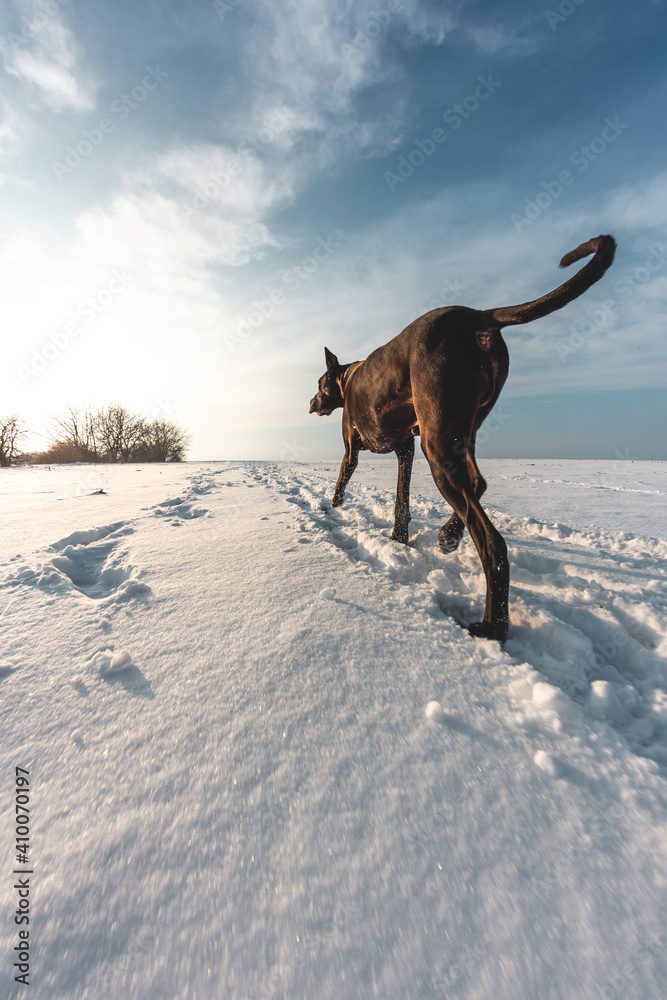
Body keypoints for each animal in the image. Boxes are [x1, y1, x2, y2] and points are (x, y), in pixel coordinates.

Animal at [310, 234, 620, 640]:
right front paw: (399, 538)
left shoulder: (354, 449)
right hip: (458, 432)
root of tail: (477, 316)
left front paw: (333, 507)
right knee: (477, 483)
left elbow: (342, 480)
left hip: (438, 445)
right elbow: (401, 501)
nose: (310, 402)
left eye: (319, 384)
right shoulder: (407, 449)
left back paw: (493, 626)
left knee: (492, 543)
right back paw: (448, 535)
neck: (347, 379)